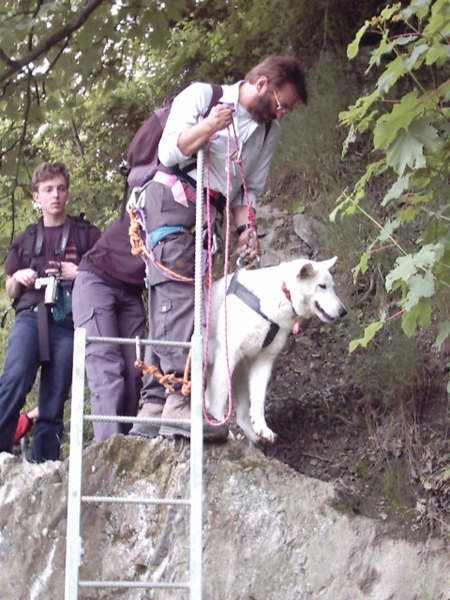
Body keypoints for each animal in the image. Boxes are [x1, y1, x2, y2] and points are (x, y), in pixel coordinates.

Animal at [206, 255, 346, 442]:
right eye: (322, 286)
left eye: (332, 286)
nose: (343, 311)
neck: (282, 297)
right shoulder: (228, 354)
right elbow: (218, 402)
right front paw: (222, 429)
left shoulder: (264, 360)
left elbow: (258, 400)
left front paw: (262, 427)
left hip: (240, 373)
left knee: (241, 415)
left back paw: (255, 438)